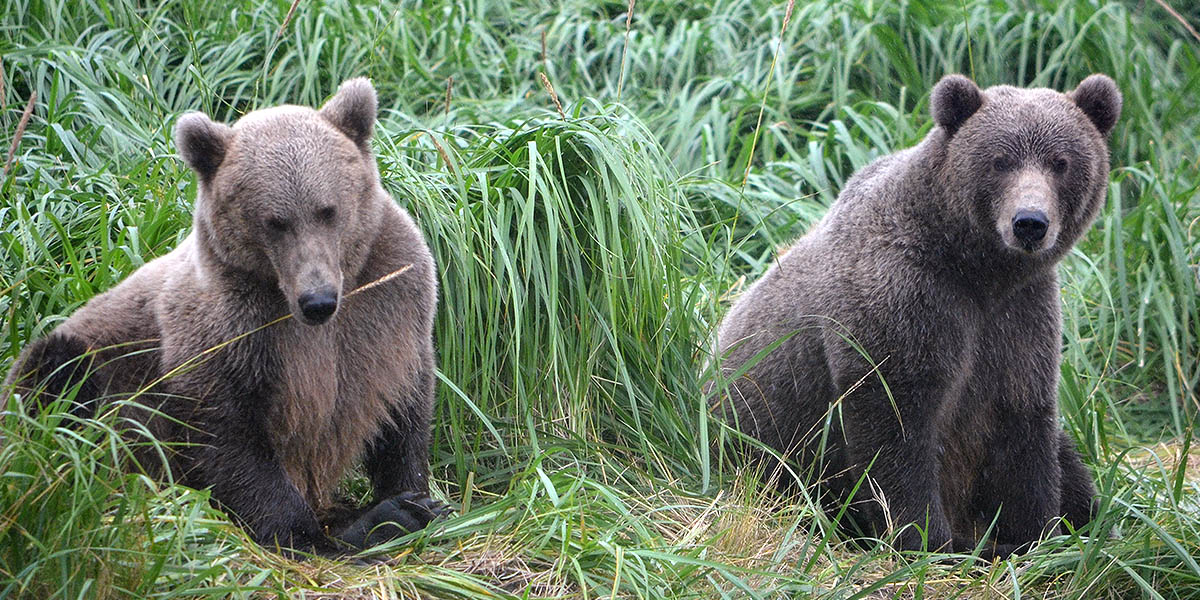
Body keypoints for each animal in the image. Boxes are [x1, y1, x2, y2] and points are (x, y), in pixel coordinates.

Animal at [4, 77, 448, 554]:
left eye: (328, 210)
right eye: (275, 221)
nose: (317, 300)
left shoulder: (390, 296)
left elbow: (403, 401)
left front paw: (416, 498)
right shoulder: (228, 329)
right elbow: (230, 437)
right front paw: (327, 530)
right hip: (86, 369)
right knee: (57, 380)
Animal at [710, 75, 1113, 556]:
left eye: (1060, 162)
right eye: (1000, 161)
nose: (1030, 222)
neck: (976, 269)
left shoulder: (1020, 315)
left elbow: (1024, 426)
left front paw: (1038, 533)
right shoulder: (903, 300)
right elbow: (896, 428)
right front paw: (928, 539)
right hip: (765, 448)